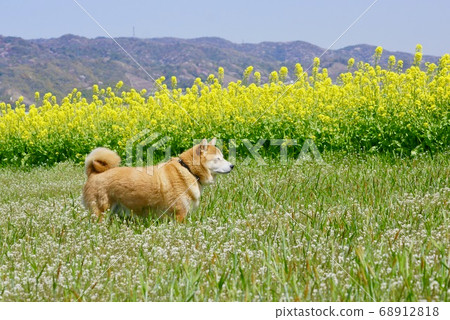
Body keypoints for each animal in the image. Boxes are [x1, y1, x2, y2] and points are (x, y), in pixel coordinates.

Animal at [82, 139, 234, 221]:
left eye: (222, 157)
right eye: (218, 159)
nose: (232, 165)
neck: (188, 169)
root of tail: (93, 173)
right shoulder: (180, 215)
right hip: (101, 212)